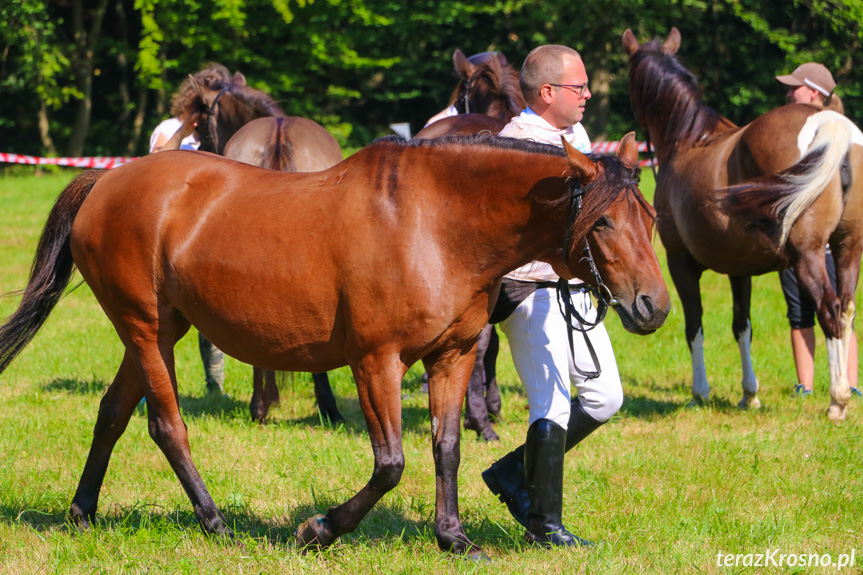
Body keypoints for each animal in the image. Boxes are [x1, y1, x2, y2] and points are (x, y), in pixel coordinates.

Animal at [0, 133, 668, 556]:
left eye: (652, 218)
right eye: (604, 221)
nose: (653, 307)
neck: (432, 222)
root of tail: (105, 182)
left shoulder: (451, 358)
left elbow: (447, 449)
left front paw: (453, 539)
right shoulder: (376, 362)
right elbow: (391, 462)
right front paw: (318, 530)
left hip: (162, 330)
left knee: (111, 413)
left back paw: (82, 513)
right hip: (144, 329)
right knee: (165, 426)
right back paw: (214, 522)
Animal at [624, 28, 863, 424]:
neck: (688, 138)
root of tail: (828, 123)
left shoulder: (679, 261)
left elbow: (694, 325)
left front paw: (699, 393)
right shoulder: (740, 268)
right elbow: (742, 327)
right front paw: (749, 395)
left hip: (809, 255)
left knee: (829, 311)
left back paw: (837, 400)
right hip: (847, 248)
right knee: (845, 311)